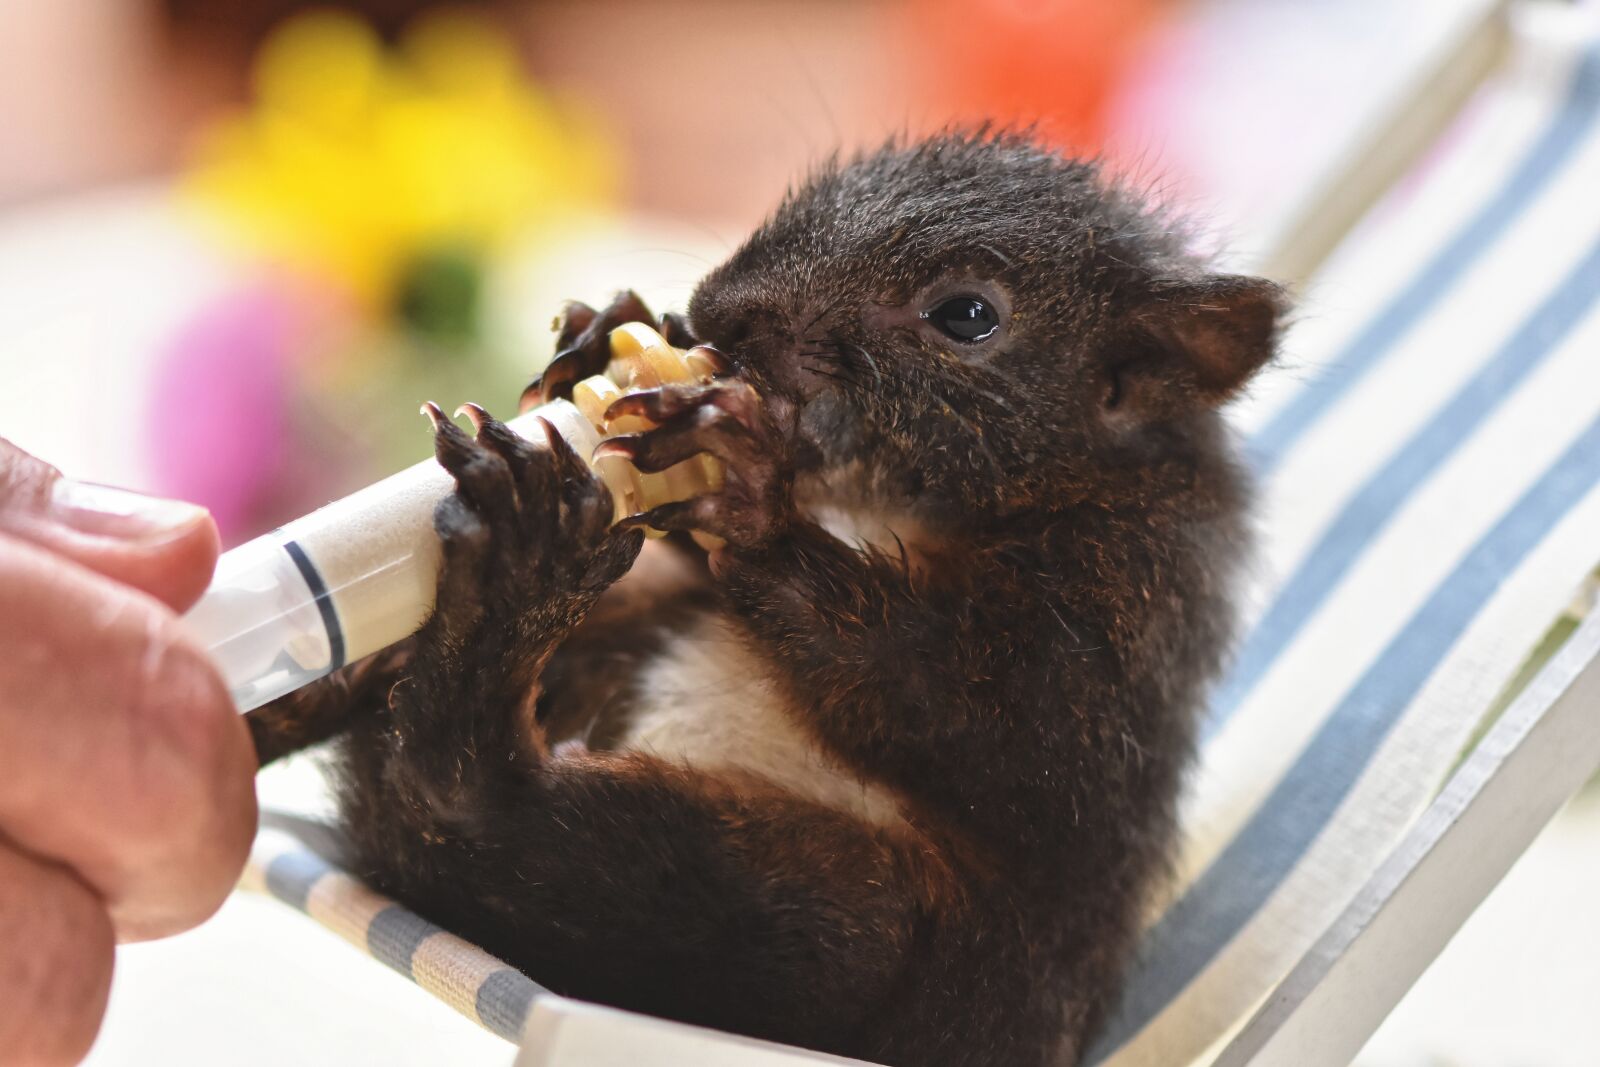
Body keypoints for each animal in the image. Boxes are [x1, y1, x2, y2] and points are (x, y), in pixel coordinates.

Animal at [248, 130, 1286, 1066]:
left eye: (967, 316)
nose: (717, 313)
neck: (883, 502)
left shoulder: (1125, 627)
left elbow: (968, 719)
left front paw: (751, 488)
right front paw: (607, 326)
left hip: (826, 925)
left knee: (469, 802)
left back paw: (521, 568)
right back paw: (301, 692)